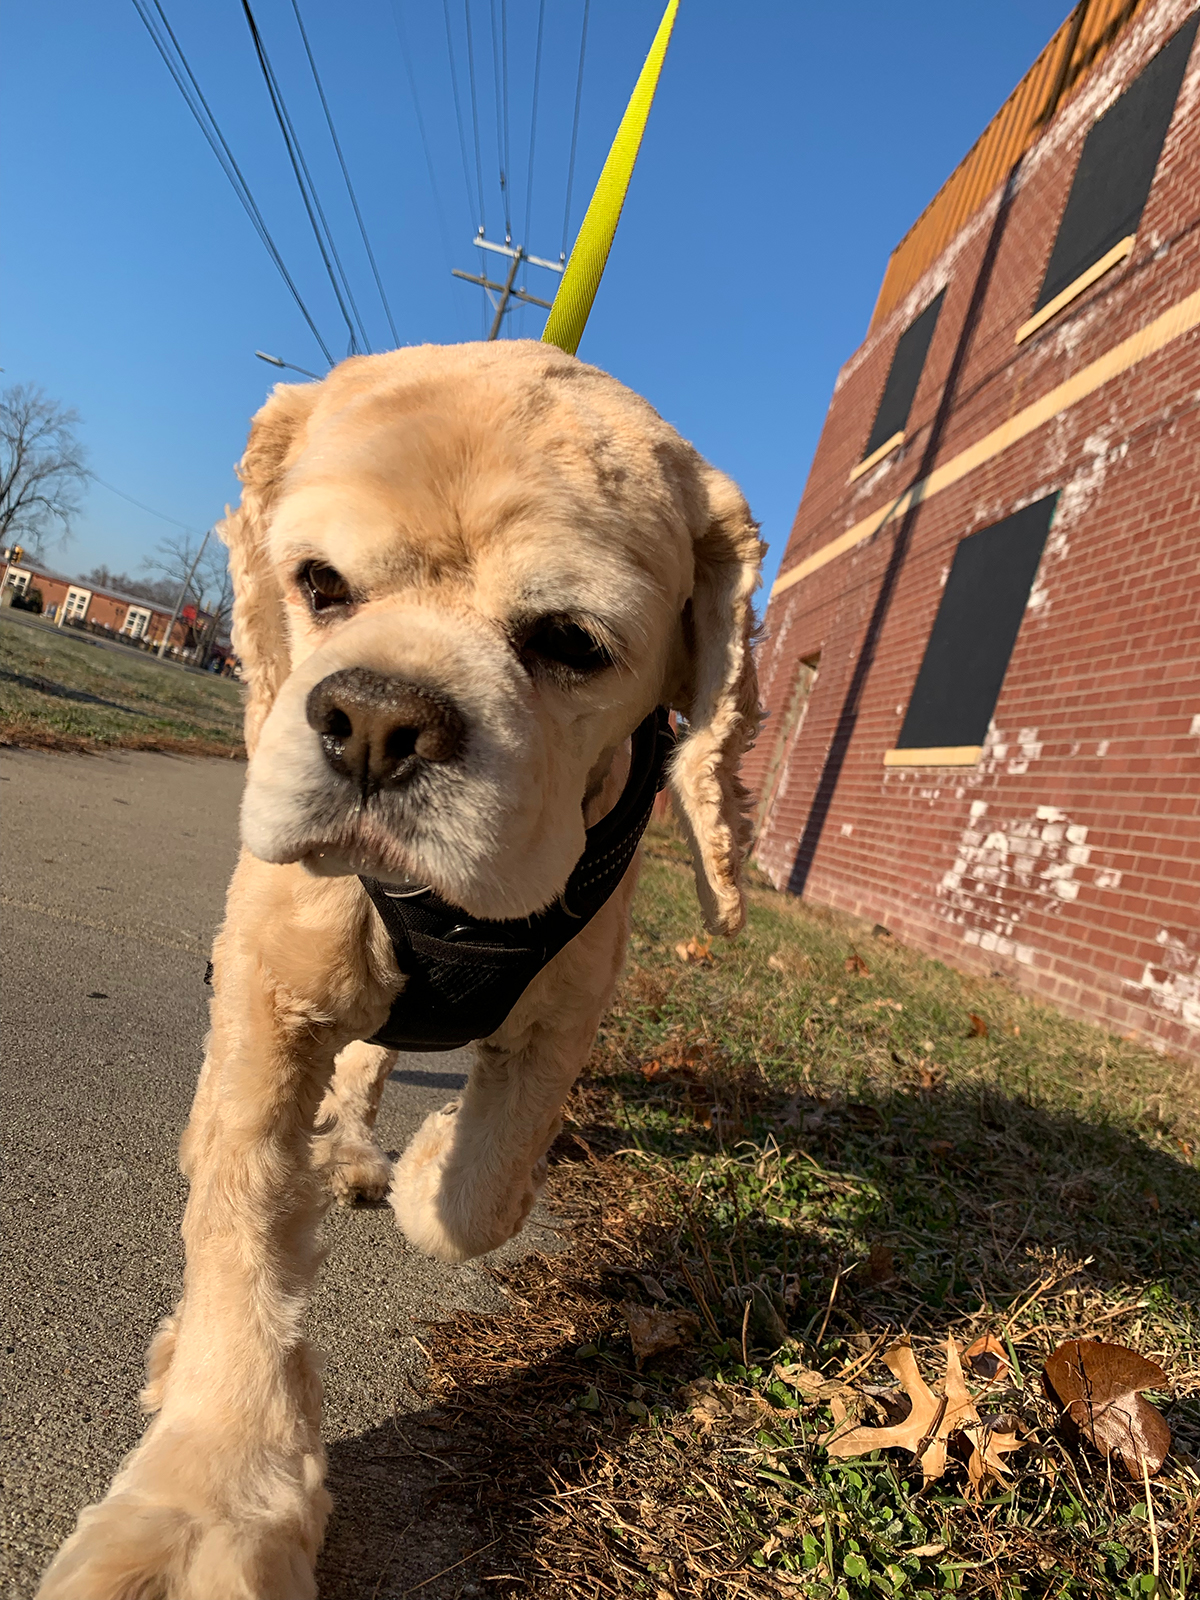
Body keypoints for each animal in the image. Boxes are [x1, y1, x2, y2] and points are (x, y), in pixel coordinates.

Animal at [42, 344, 764, 1593]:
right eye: (319, 582)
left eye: (573, 642)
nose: (374, 722)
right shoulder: (268, 998)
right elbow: (237, 1221)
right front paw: (208, 1502)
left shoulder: (563, 1018)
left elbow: (478, 1198)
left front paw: (427, 1165)